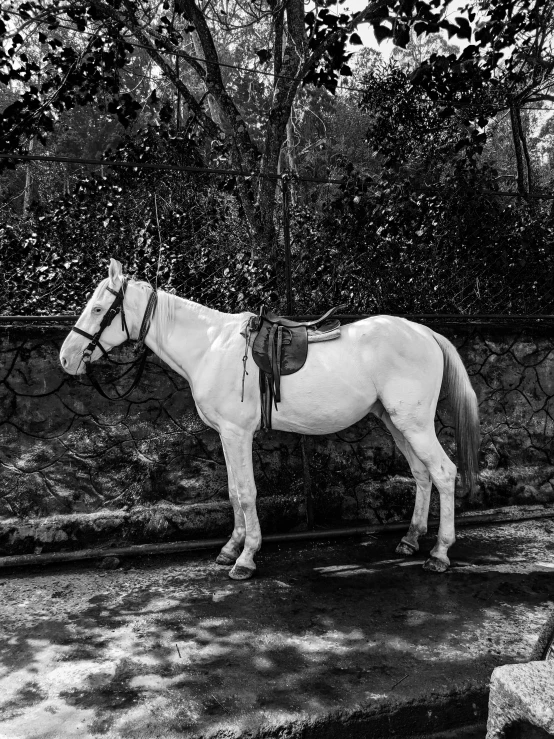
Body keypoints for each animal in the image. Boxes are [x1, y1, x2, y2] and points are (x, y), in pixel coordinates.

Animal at [58, 260, 476, 580]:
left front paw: (245, 559)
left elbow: (246, 493)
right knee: (421, 474)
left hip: (414, 424)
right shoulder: (226, 436)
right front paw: (231, 548)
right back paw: (411, 538)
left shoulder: (237, 434)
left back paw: (439, 553)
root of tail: (423, 331)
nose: (66, 357)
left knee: (443, 472)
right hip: (395, 421)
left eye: (99, 310)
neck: (210, 347)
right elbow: (232, 492)